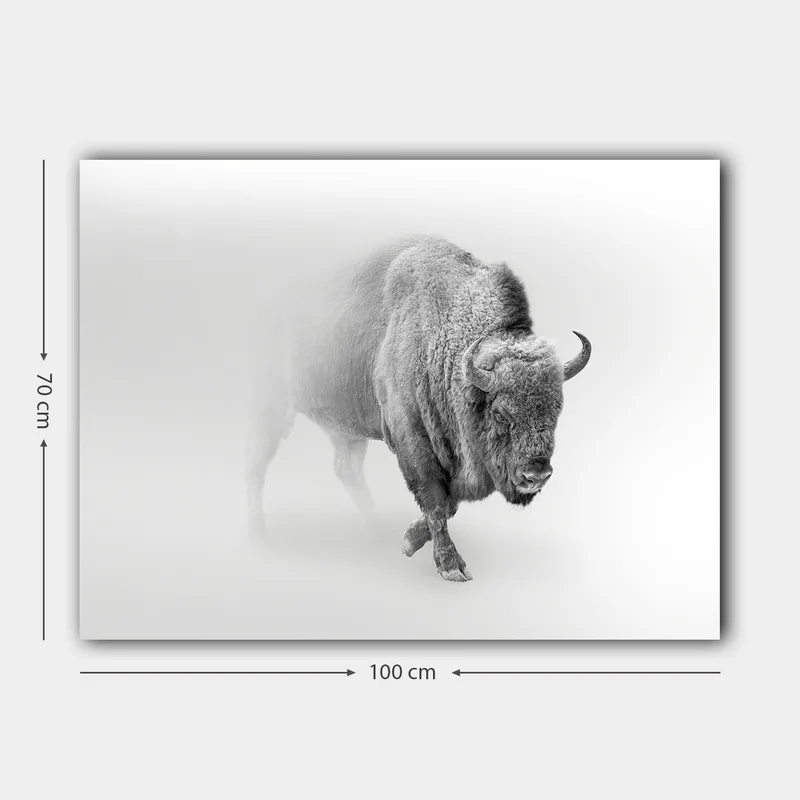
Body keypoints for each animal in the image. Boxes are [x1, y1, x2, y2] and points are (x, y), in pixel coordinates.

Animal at [247, 236, 591, 582]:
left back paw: (377, 531)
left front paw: (408, 541)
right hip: (271, 406)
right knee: (257, 465)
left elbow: (449, 503)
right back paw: (259, 536)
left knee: (346, 470)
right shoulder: (412, 440)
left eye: (556, 410)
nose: (537, 474)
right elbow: (436, 501)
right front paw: (451, 567)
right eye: (500, 413)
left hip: (344, 428)